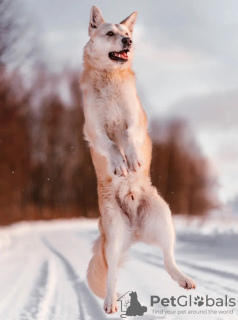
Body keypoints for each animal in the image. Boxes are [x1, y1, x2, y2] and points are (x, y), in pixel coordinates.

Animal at [81, 6, 196, 314]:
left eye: (126, 33)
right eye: (110, 33)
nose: (128, 42)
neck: (110, 79)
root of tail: (134, 230)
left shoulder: (135, 119)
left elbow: (129, 135)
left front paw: (131, 160)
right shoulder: (94, 130)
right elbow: (111, 145)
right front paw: (119, 163)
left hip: (164, 219)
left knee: (169, 260)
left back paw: (184, 279)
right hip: (113, 235)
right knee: (111, 274)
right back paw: (110, 302)